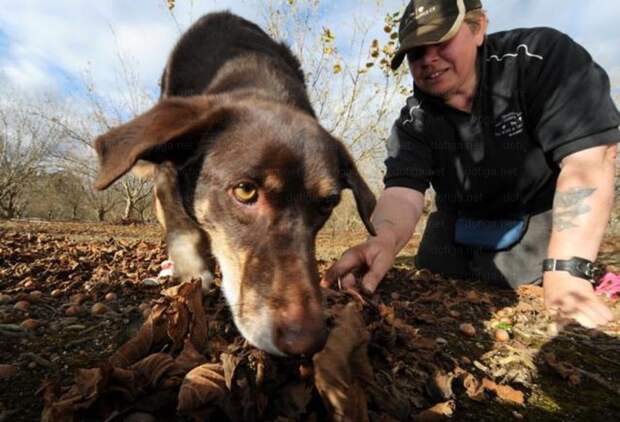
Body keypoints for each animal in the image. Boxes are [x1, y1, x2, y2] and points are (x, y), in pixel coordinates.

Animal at [91, 11, 372, 356]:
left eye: (327, 204)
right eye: (245, 190)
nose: (307, 342)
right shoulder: (169, 171)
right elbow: (183, 231)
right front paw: (193, 275)